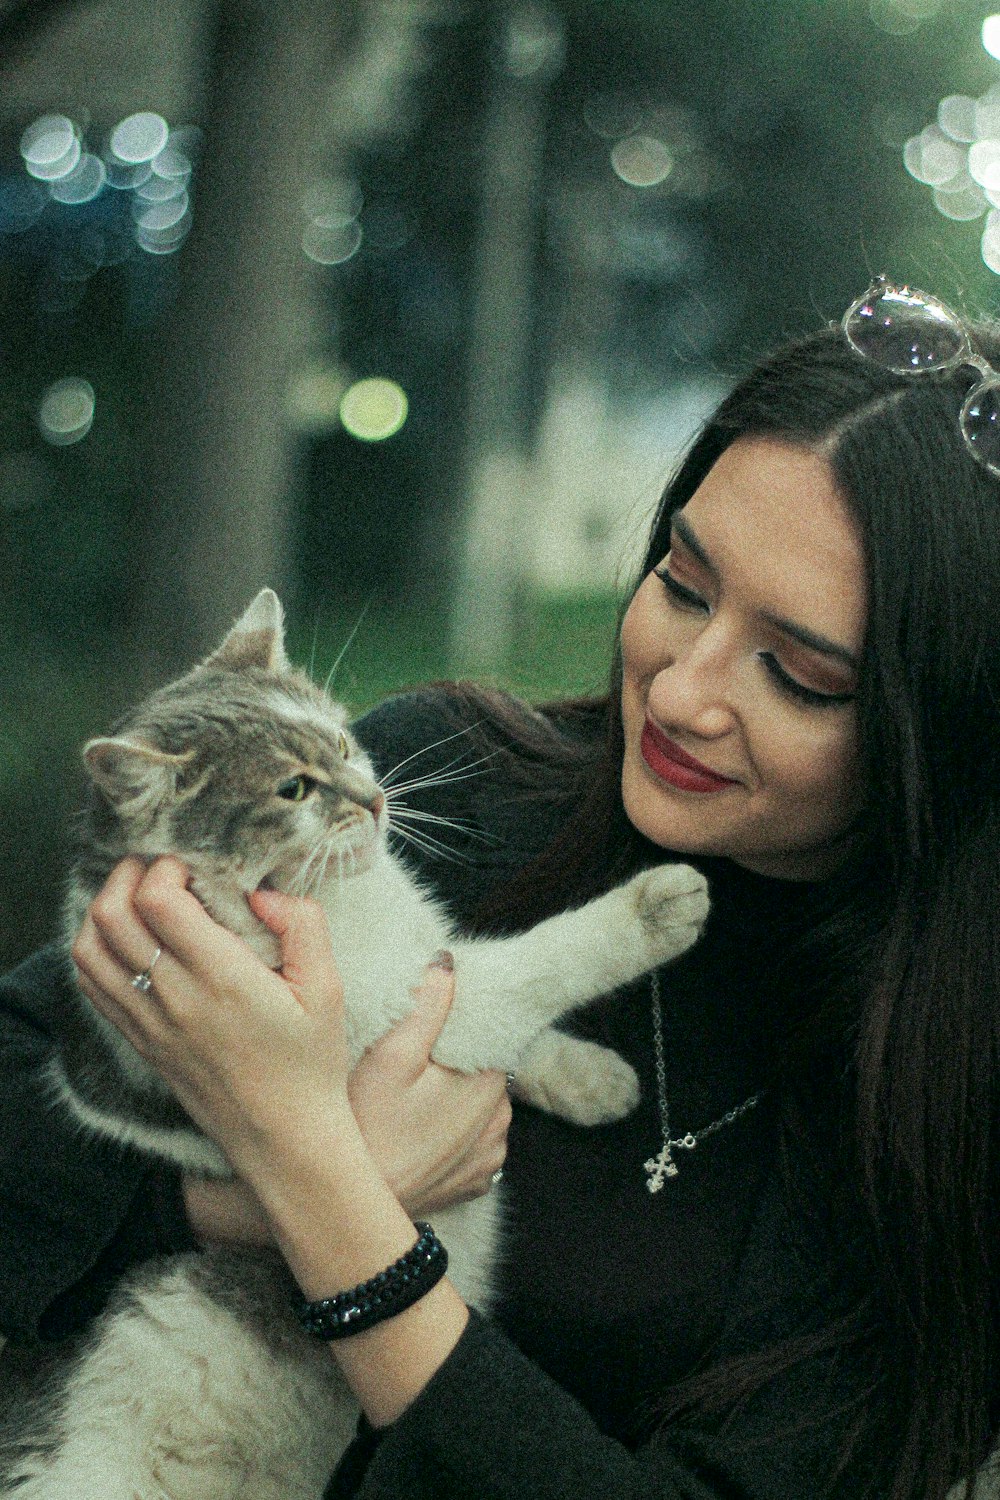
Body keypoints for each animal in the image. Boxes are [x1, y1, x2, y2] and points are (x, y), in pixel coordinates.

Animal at [3, 591, 716, 1494]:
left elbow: (510, 1019)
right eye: (293, 788)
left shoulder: (427, 972)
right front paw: (655, 908)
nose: (372, 800)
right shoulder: (431, 1012)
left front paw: (595, 1080)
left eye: (342, 743)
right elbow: (531, 966)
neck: (344, 900)